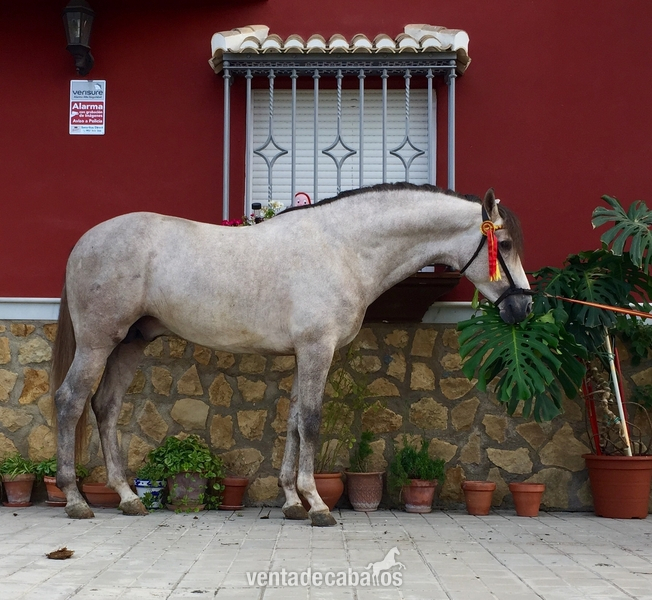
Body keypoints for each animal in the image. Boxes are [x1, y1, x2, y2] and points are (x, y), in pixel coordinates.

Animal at [51, 182, 532, 526]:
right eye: (505, 245)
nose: (524, 308)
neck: (343, 249)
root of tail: (83, 242)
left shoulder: (306, 352)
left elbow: (295, 420)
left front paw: (291, 501)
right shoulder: (317, 348)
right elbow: (312, 421)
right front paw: (317, 504)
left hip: (129, 343)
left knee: (106, 406)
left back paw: (128, 497)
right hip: (98, 342)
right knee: (70, 401)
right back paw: (75, 500)